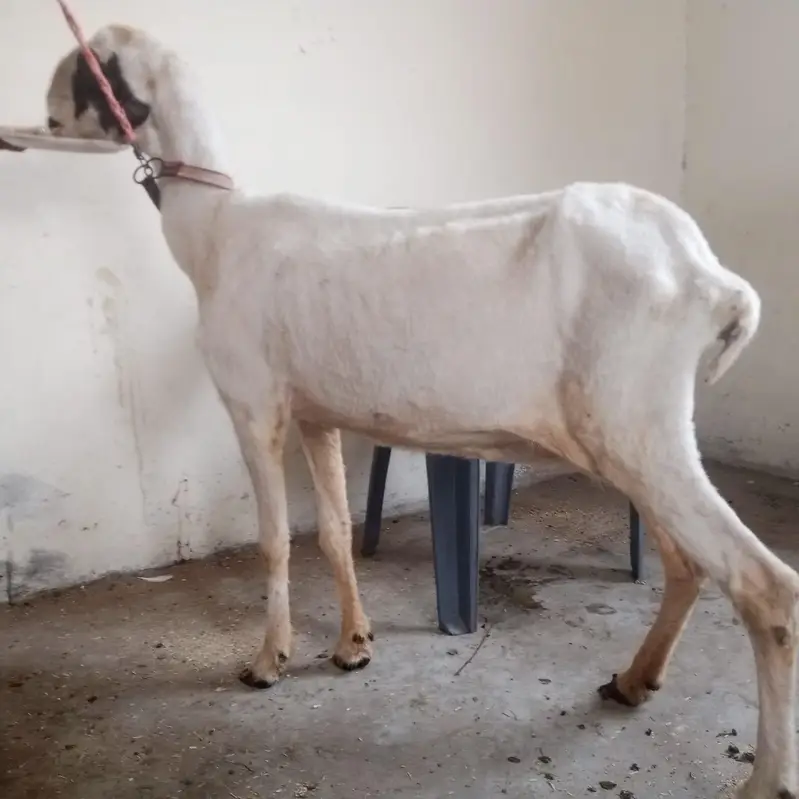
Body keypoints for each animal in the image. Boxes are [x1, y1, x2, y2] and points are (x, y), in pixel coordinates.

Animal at [40, 24, 799, 798]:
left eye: (81, 68)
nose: (44, 120)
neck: (216, 228)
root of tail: (711, 277)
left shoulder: (252, 403)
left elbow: (274, 539)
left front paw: (268, 660)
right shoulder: (314, 413)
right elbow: (335, 532)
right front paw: (352, 645)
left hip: (637, 429)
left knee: (764, 585)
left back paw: (764, 776)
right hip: (634, 440)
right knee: (689, 564)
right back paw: (632, 681)